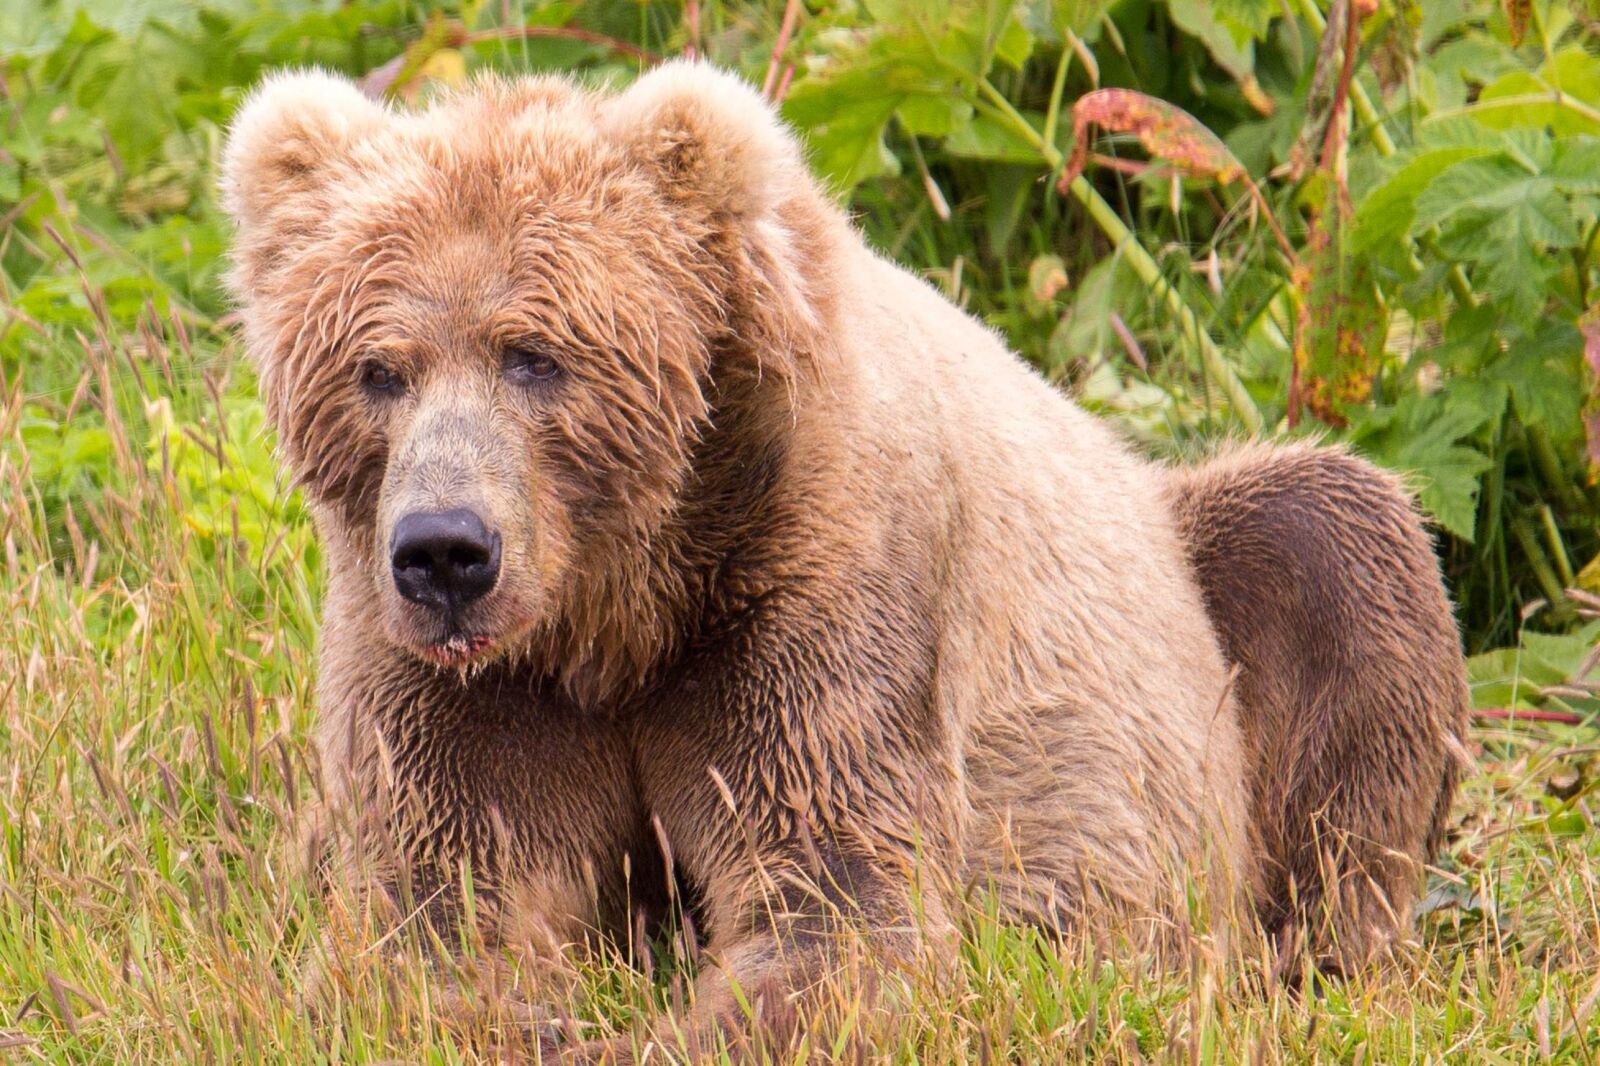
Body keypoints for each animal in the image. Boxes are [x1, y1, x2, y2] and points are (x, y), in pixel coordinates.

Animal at [221, 61, 1469, 1058]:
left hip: (1210, 596)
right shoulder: (459, 685)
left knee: (1338, 548)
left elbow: (837, 912)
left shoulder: (814, 597)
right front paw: (519, 1011)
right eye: (379, 368)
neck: (622, 609)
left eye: (535, 356)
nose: (445, 551)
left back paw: (1300, 964)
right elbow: (439, 909)